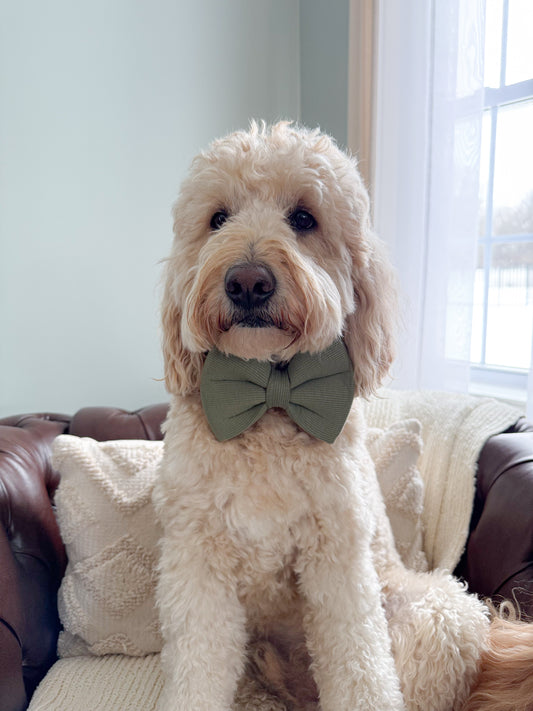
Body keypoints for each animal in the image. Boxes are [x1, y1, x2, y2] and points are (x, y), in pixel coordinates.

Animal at [154, 122, 528, 711]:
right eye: (217, 218)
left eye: (305, 218)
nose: (248, 281)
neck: (270, 399)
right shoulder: (198, 561)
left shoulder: (339, 560)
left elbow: (360, 667)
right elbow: (198, 669)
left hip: (440, 611)